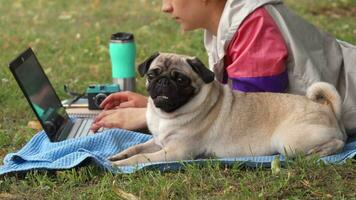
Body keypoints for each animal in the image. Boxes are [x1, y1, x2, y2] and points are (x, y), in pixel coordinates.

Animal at [109, 52, 348, 166]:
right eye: (152, 75)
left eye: (181, 79)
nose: (163, 82)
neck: (166, 115)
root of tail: (327, 109)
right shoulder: (159, 142)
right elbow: (137, 148)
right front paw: (118, 156)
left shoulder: (176, 151)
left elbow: (142, 158)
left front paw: (123, 165)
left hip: (288, 142)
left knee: (339, 143)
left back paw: (318, 153)